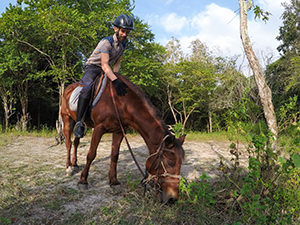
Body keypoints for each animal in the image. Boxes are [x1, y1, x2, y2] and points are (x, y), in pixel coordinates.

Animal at [61, 73, 185, 203]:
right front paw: (83, 181)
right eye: (170, 163)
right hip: (66, 118)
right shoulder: (99, 128)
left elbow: (115, 155)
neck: (119, 102)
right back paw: (69, 167)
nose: (172, 198)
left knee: (76, 142)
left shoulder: (119, 131)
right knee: (69, 143)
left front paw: (114, 181)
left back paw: (75, 164)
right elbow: (91, 154)